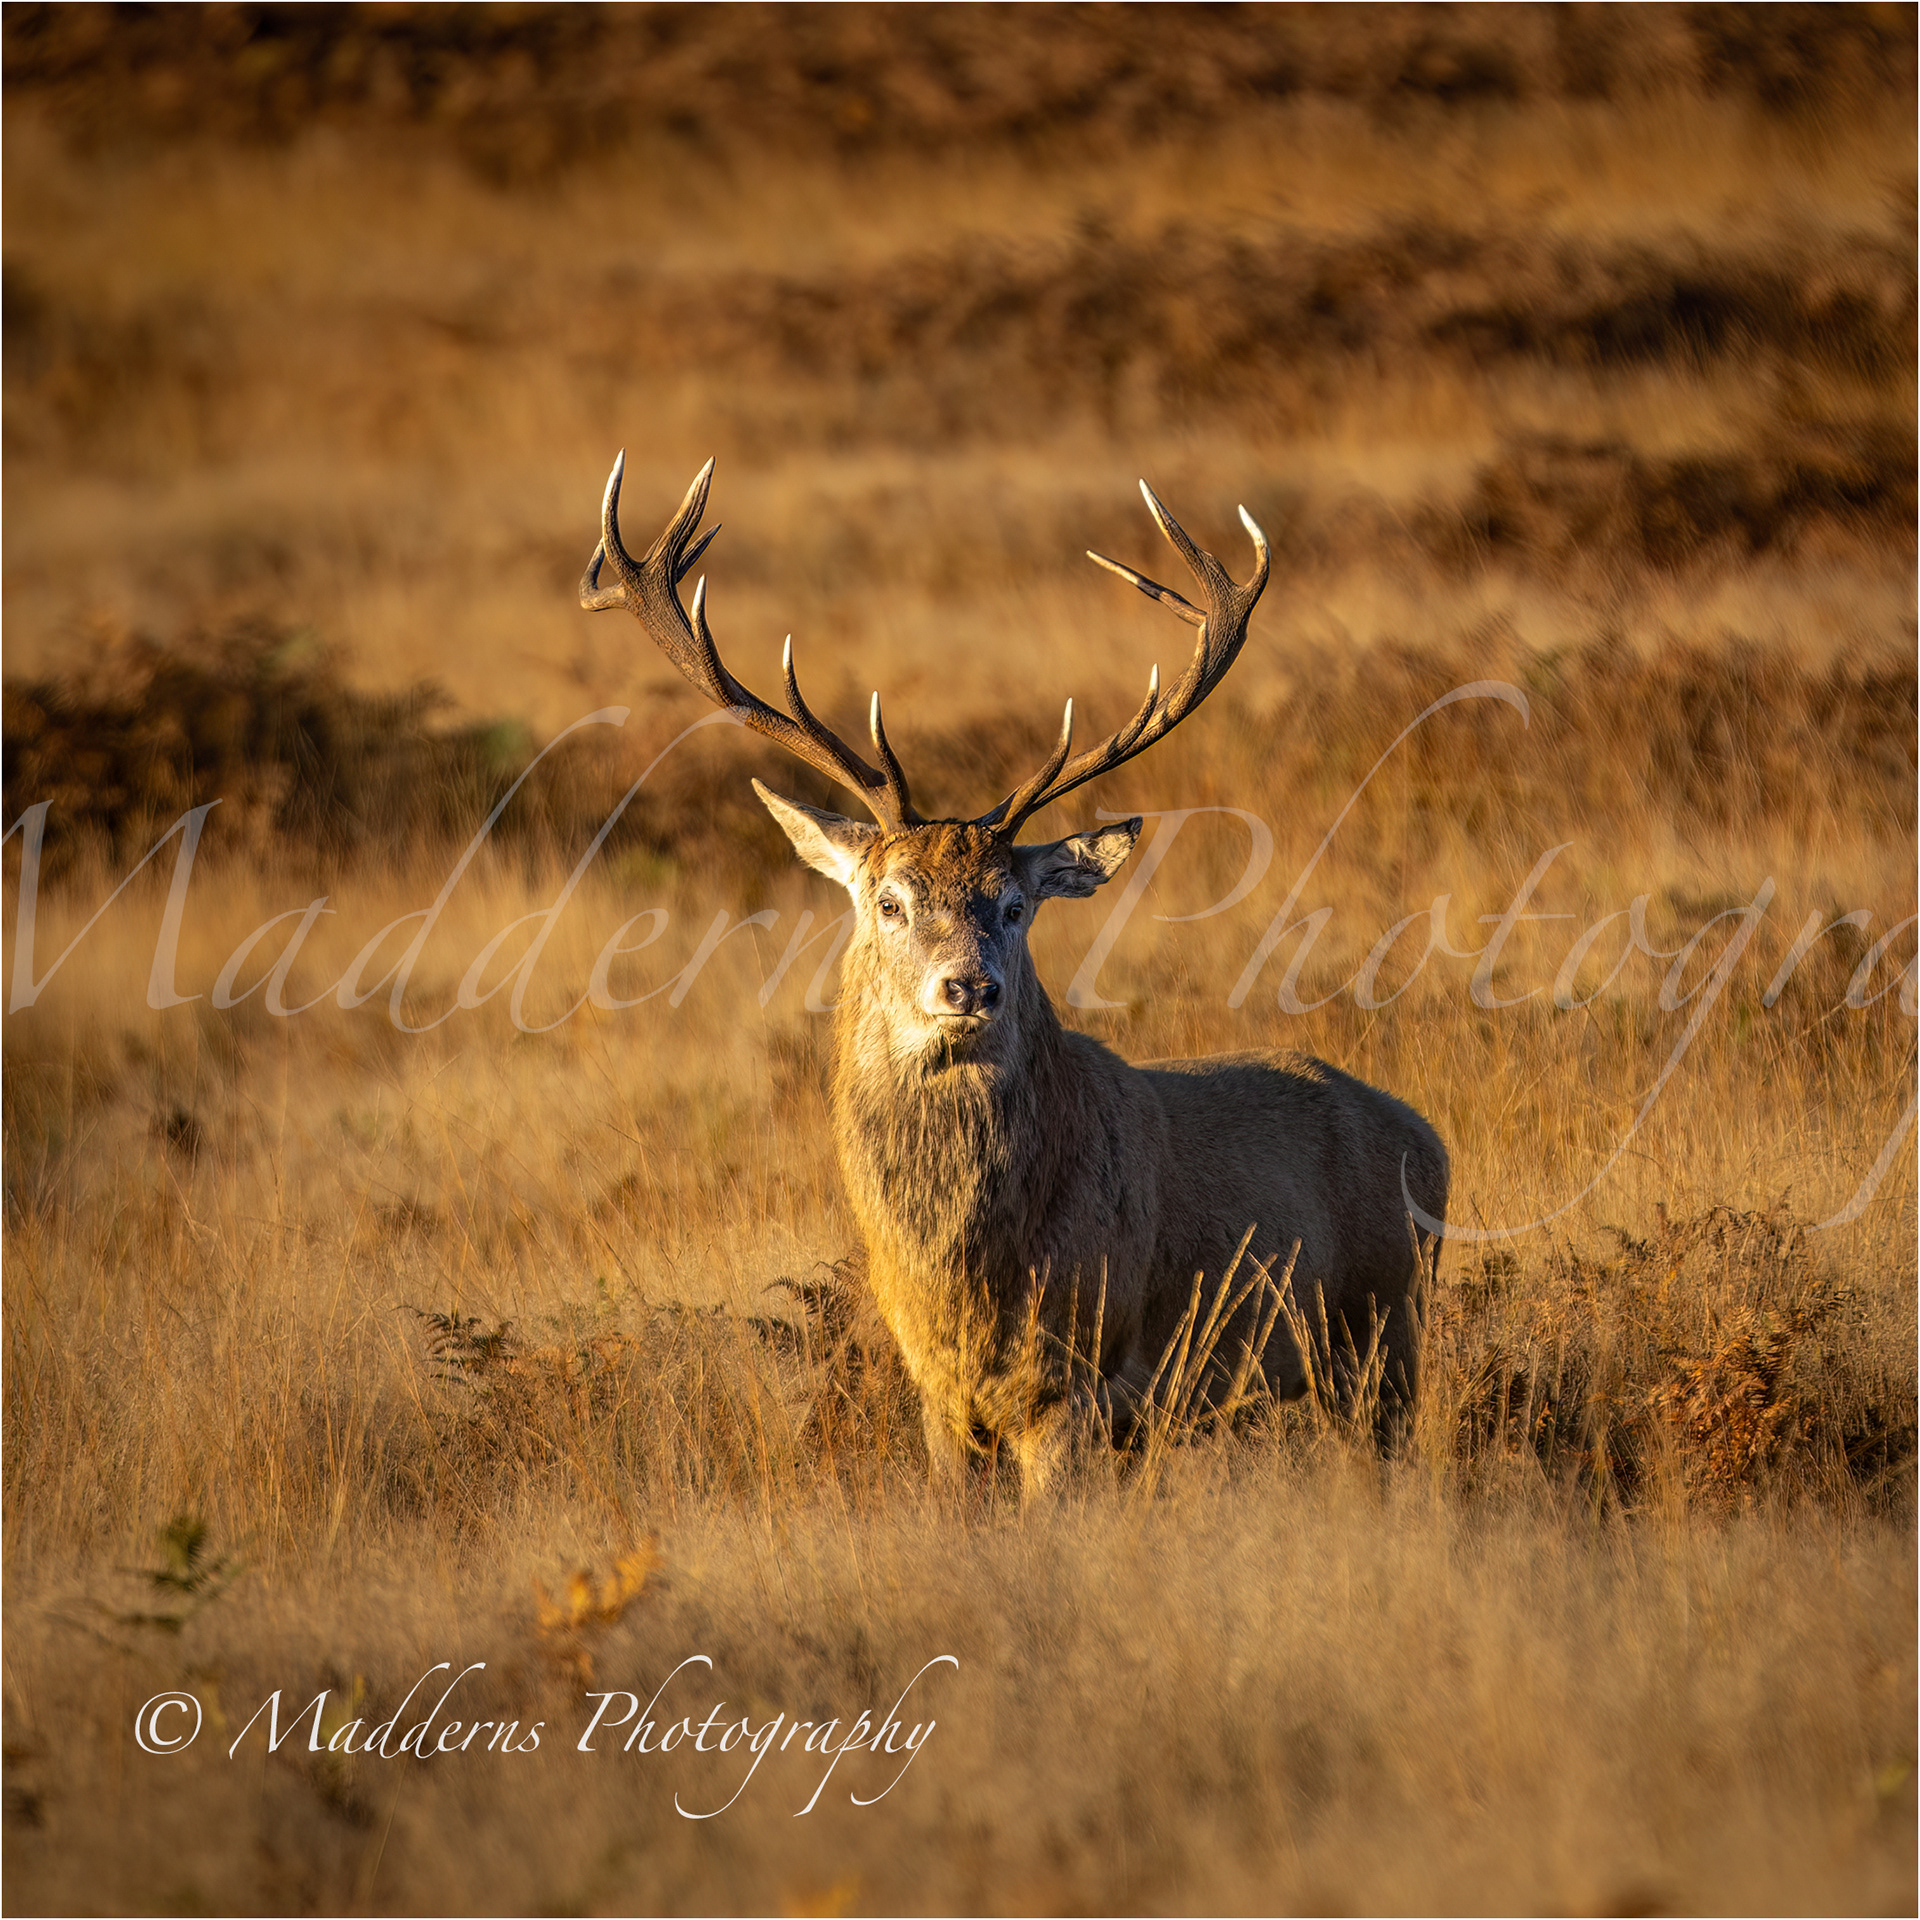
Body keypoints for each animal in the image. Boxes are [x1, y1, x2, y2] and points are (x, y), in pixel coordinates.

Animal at [579, 453, 1449, 1496]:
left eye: (1015, 903)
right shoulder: (939, 1401)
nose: (969, 988)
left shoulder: (1071, 1381)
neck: (964, 1288)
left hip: (1385, 1328)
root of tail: (1431, 1144)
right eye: (888, 900)